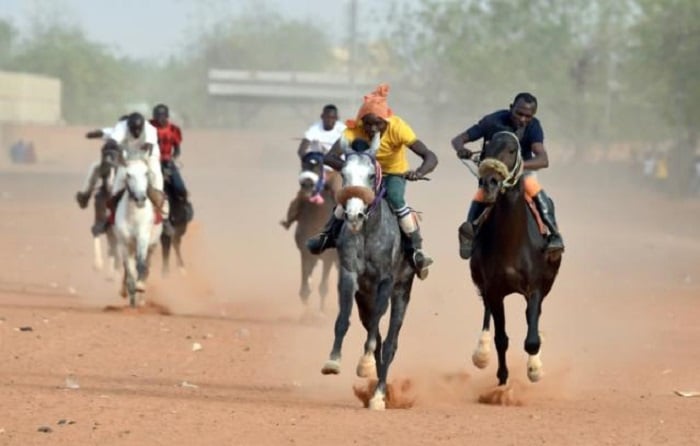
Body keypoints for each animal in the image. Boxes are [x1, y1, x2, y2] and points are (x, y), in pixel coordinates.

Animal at [115, 159, 164, 308]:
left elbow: (141, 264)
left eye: (146, 173)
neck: (134, 217)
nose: (141, 198)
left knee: (147, 266)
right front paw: (131, 293)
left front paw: (140, 286)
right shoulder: (124, 244)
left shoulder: (143, 238)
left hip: (152, 247)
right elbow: (130, 271)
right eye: (128, 174)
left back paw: (141, 298)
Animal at [318, 133, 416, 412]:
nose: (354, 215)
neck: (369, 233)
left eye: (372, 175)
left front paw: (365, 366)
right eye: (344, 173)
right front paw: (333, 361)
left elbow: (377, 331)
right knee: (379, 336)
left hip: (402, 291)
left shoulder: (386, 281)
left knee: (390, 342)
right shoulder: (349, 274)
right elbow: (343, 318)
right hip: (365, 299)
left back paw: (379, 395)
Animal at [468, 132, 560, 386]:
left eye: (511, 150)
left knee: (532, 318)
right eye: (487, 146)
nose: (489, 182)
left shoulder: (535, 287)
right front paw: (502, 379)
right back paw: (481, 352)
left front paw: (535, 369)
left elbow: (532, 339)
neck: (512, 242)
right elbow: (501, 338)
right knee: (487, 312)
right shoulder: (494, 289)